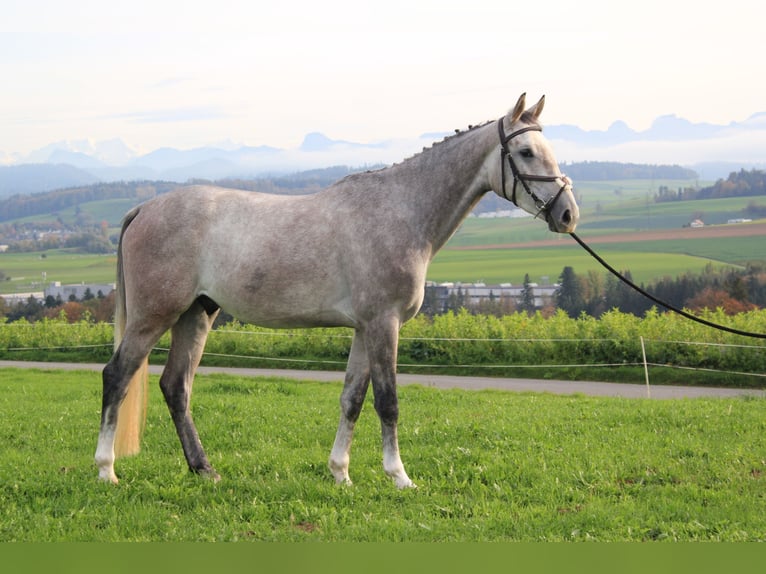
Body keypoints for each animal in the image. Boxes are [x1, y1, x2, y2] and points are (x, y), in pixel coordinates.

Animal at [94, 93, 576, 486]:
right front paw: (399, 477)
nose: (568, 213)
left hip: (196, 314)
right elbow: (387, 401)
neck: (400, 211)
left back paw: (204, 469)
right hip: (153, 317)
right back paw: (106, 469)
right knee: (117, 376)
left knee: (176, 387)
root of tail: (144, 208)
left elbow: (352, 399)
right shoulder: (384, 324)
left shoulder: (364, 328)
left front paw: (340, 473)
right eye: (526, 151)